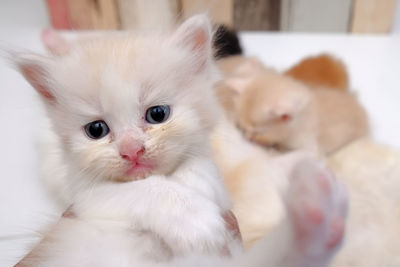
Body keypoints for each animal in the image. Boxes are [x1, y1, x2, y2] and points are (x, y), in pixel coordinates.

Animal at [14, 15, 348, 266]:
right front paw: (194, 219)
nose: (131, 150)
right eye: (96, 130)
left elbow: (202, 171)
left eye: (157, 114)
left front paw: (194, 185)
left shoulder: (218, 179)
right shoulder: (89, 199)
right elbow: (144, 190)